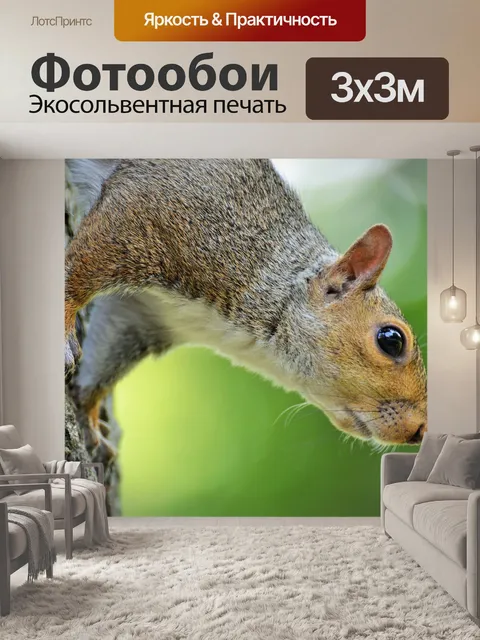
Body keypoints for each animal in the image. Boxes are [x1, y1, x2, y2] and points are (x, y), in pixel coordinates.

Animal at [65, 159, 427, 446]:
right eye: (391, 340)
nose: (421, 431)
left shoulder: (144, 316)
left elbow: (106, 359)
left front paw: (91, 413)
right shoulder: (151, 210)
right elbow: (78, 270)